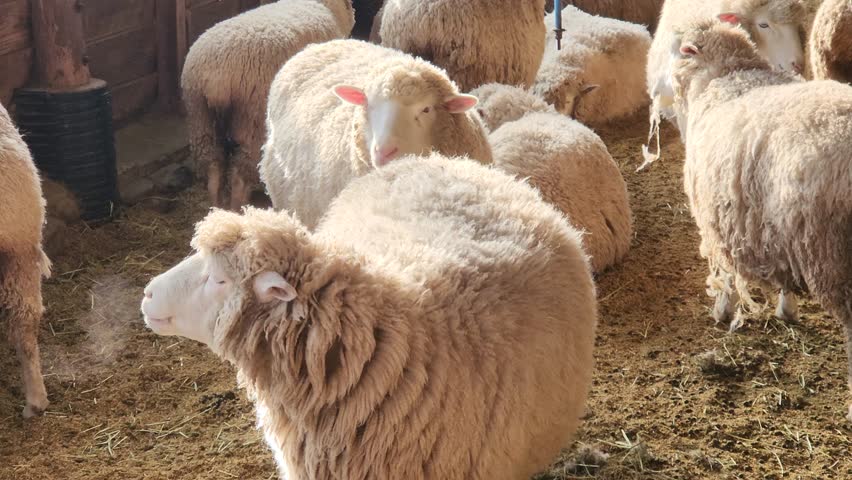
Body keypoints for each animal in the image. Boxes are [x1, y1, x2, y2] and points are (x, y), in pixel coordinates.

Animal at [181, 0, 354, 212]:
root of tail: (216, 78)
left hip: (201, 116)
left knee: (213, 167)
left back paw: (216, 207)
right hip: (253, 121)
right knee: (240, 175)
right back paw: (238, 207)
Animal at [671, 20, 852, 419]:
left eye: (677, 49)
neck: (727, 75)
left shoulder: (715, 218)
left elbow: (723, 273)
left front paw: (722, 311)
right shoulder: (779, 222)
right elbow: (783, 277)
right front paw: (787, 309)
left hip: (835, 259)